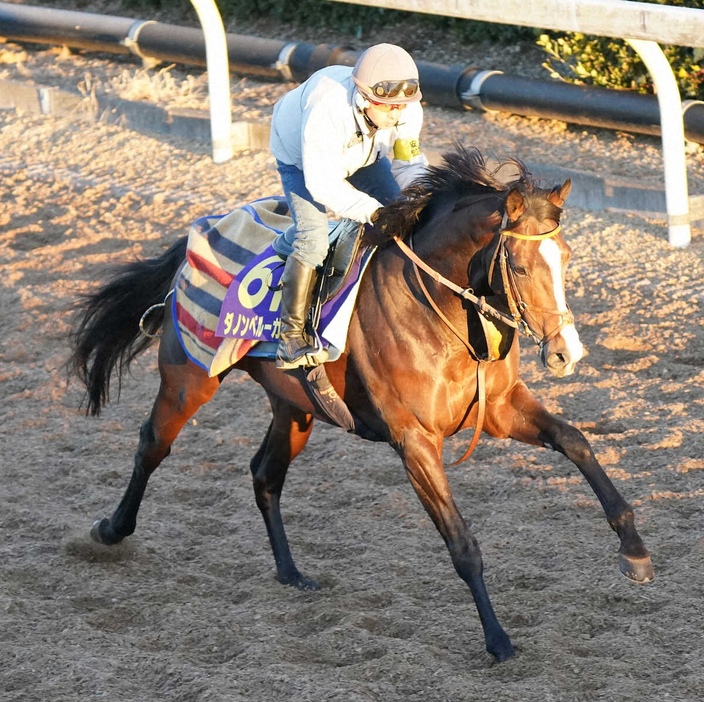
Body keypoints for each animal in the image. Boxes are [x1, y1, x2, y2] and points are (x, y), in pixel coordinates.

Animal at [69, 146, 652, 664]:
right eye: (524, 268)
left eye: (567, 259)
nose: (566, 352)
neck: (441, 314)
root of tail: (205, 227)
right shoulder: (414, 440)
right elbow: (463, 543)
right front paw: (498, 640)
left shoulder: (501, 408)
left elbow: (577, 443)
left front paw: (636, 552)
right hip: (189, 378)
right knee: (152, 445)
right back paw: (110, 530)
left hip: (296, 406)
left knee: (264, 473)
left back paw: (291, 572)